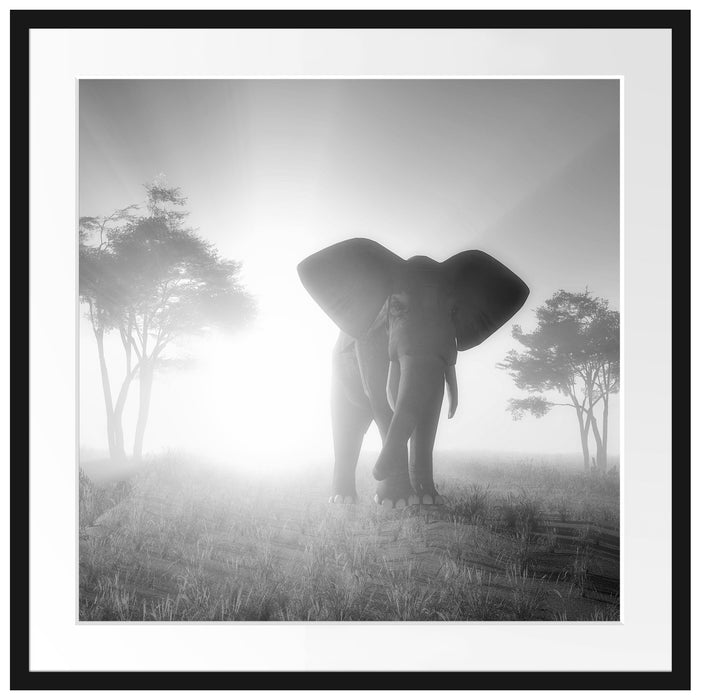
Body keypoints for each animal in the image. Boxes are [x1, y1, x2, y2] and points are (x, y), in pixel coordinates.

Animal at [297, 238, 529, 508]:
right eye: (396, 306)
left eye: (453, 312)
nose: (375, 472)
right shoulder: (370, 340)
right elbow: (382, 398)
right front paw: (394, 502)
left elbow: (431, 402)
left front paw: (429, 500)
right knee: (348, 423)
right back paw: (342, 500)